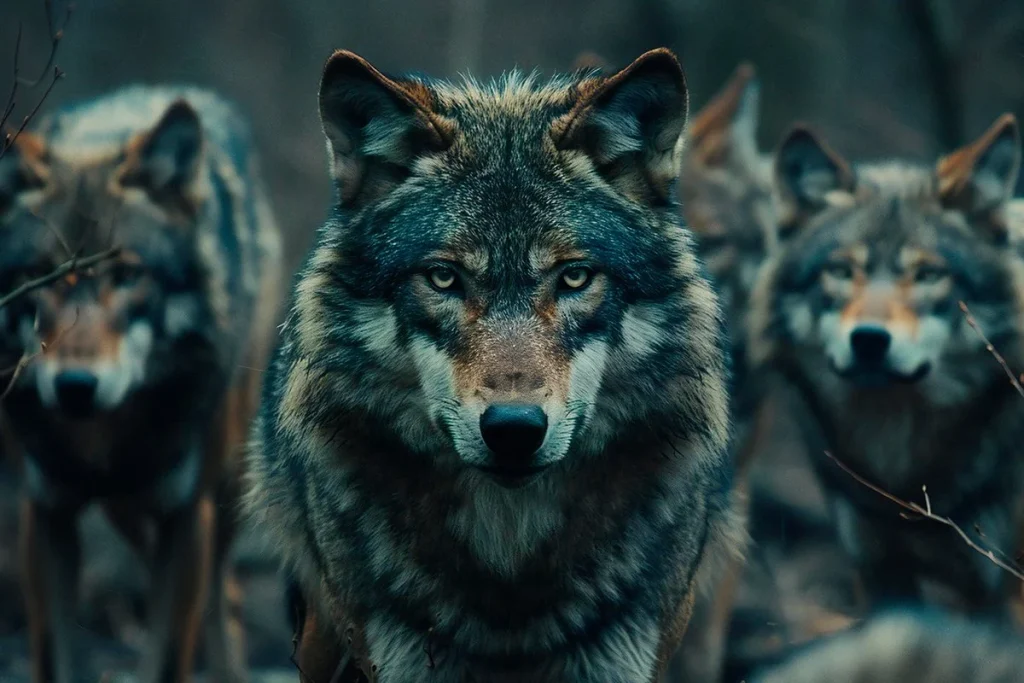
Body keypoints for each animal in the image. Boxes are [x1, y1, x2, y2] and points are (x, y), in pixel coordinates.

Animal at [0, 85, 283, 683]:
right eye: (37, 278)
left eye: (128, 275)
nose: (75, 385)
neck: (102, 441)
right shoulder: (46, 513)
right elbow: (54, 657)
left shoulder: (185, 515)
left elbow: (169, 657)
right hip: (129, 511)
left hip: (222, 493)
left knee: (225, 596)